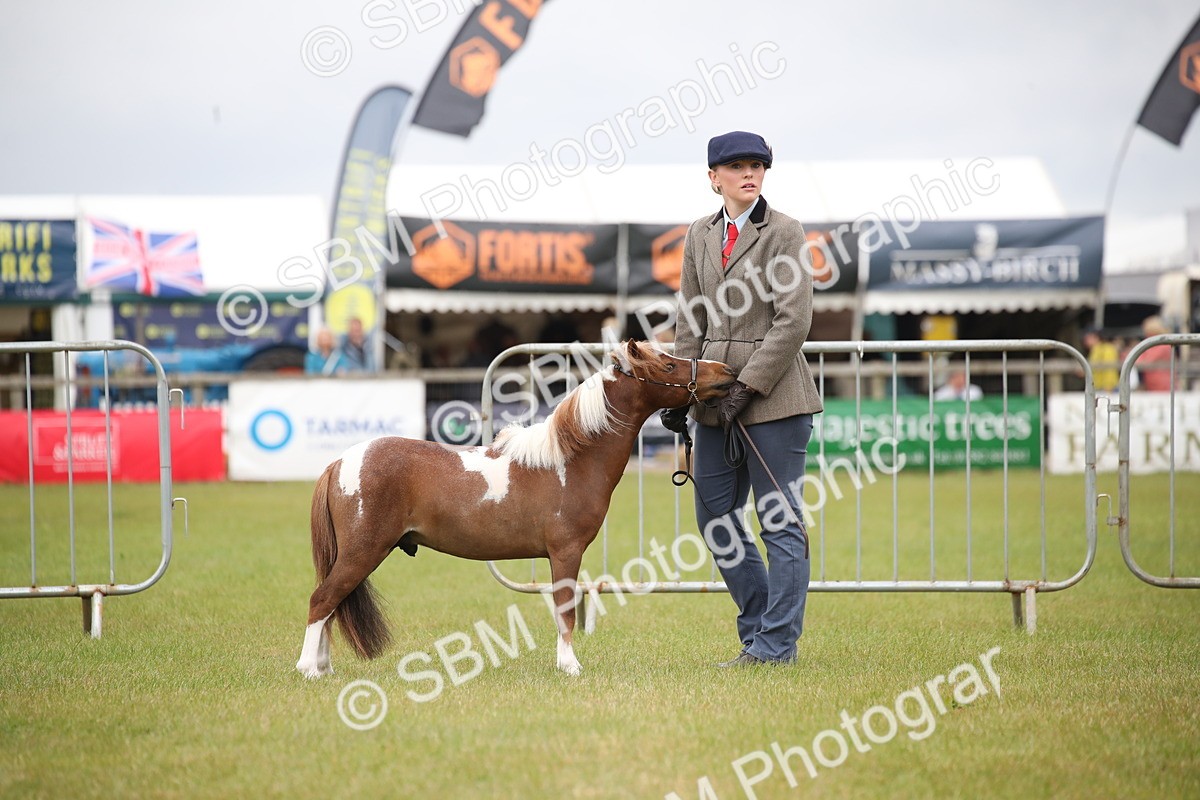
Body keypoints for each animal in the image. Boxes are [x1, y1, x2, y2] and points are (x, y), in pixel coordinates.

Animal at [295, 340, 735, 678]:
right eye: (668, 364)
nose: (726, 372)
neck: (570, 461)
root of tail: (340, 462)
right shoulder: (565, 552)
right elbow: (565, 609)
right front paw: (569, 666)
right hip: (362, 551)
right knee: (322, 601)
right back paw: (308, 669)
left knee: (332, 605)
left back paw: (324, 668)